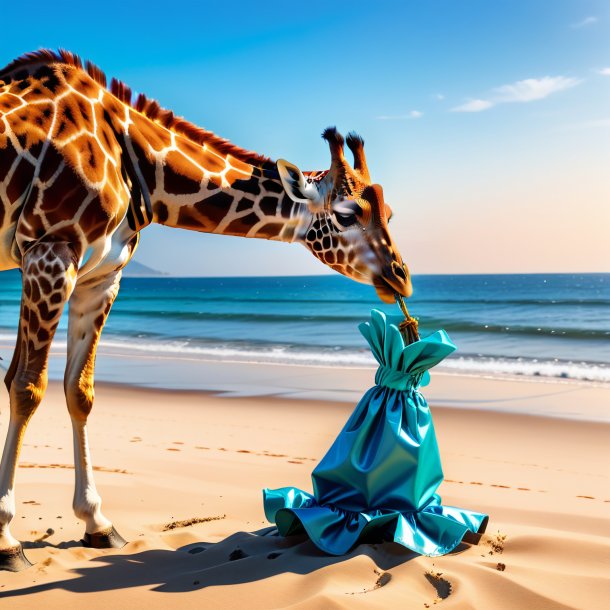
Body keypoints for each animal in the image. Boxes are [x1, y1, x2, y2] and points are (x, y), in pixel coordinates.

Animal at [0, 50, 410, 568]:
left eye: (390, 213)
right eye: (346, 214)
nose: (401, 276)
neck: (140, 169)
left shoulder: (100, 274)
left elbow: (79, 392)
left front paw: (97, 523)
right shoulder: (50, 253)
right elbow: (26, 387)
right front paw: (6, 538)